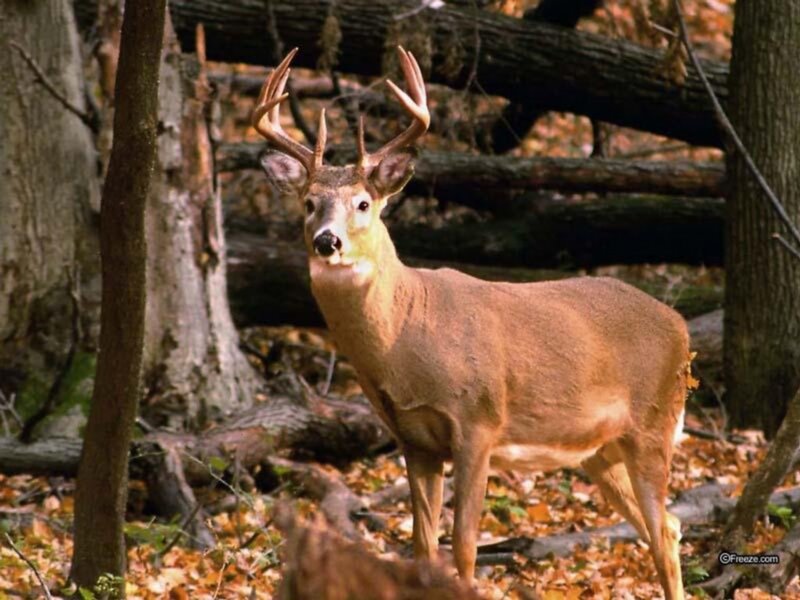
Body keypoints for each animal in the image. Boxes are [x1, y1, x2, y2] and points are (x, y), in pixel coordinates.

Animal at [253, 46, 690, 600]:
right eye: (309, 203)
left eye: (363, 203)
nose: (327, 241)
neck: (406, 339)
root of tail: (681, 326)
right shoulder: (413, 439)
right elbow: (423, 549)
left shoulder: (479, 422)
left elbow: (463, 549)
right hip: (599, 449)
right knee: (668, 526)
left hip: (654, 423)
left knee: (663, 526)